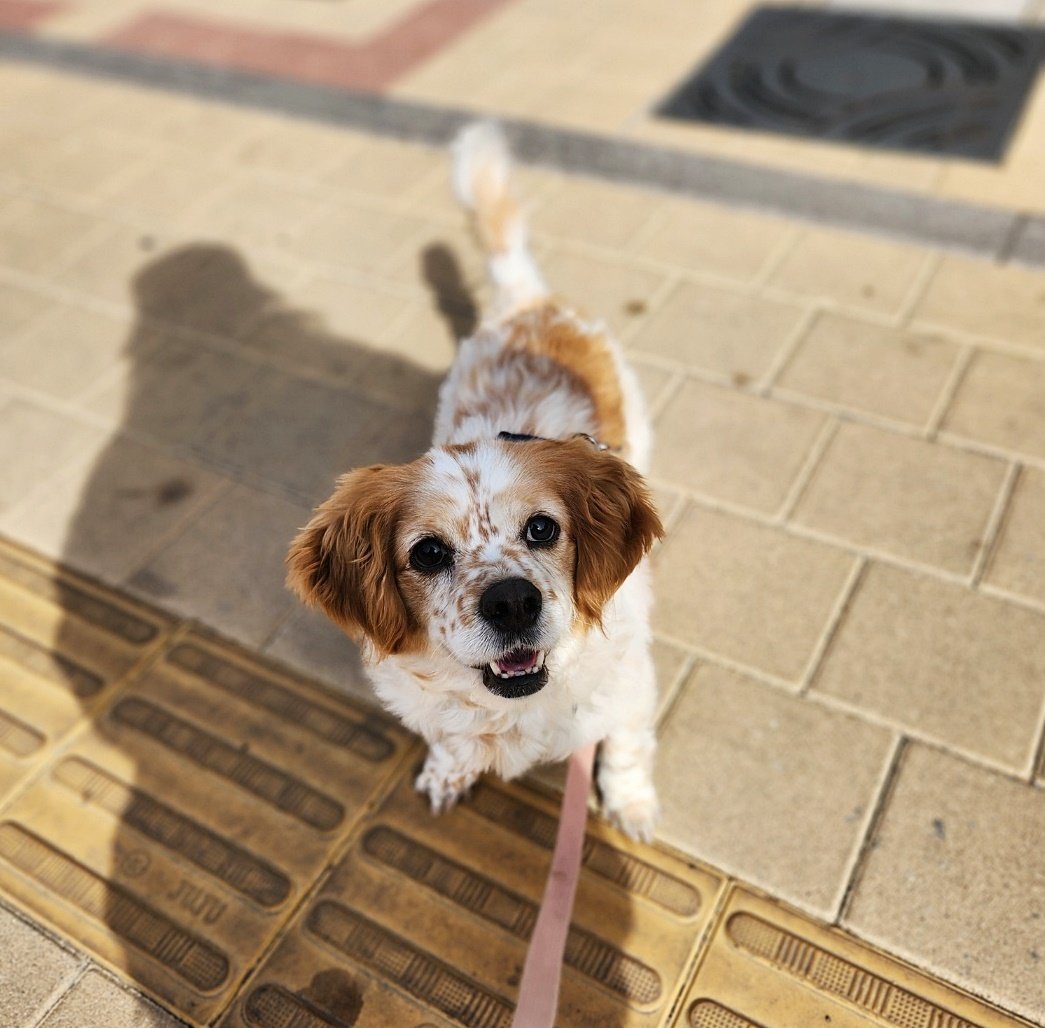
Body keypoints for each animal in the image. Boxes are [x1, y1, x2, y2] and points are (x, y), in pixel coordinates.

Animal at [286, 124, 660, 839]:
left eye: (542, 528)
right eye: (428, 552)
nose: (512, 602)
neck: (515, 706)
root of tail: (530, 303)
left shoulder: (628, 685)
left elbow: (625, 746)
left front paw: (629, 804)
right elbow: (447, 736)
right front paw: (448, 772)